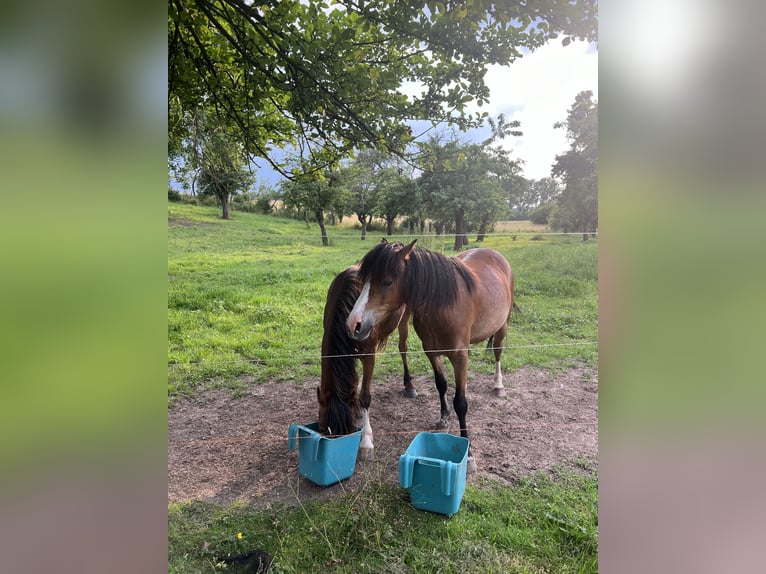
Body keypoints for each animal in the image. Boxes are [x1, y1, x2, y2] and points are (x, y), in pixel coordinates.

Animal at [316, 264, 414, 462]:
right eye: (322, 430)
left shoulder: (369, 355)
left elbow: (365, 397)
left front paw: (366, 441)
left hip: (405, 317)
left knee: (403, 347)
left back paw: (409, 385)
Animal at [350, 241, 520, 474]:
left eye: (387, 281)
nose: (354, 324)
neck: (444, 304)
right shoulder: (431, 351)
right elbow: (441, 384)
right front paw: (443, 416)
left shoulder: (460, 357)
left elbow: (461, 403)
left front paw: (469, 455)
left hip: (503, 326)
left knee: (498, 352)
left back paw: (498, 385)